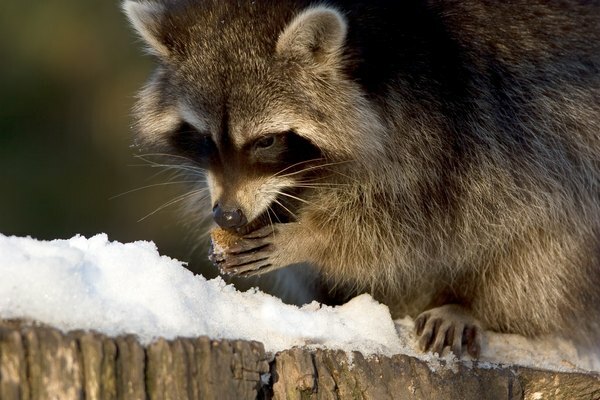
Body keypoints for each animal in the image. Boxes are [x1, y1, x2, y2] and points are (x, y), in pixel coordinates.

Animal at [123, 0, 600, 356]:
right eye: (203, 138)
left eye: (266, 141)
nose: (227, 217)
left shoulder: (449, 118)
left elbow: (411, 225)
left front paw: (310, 237)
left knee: (546, 240)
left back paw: (476, 307)